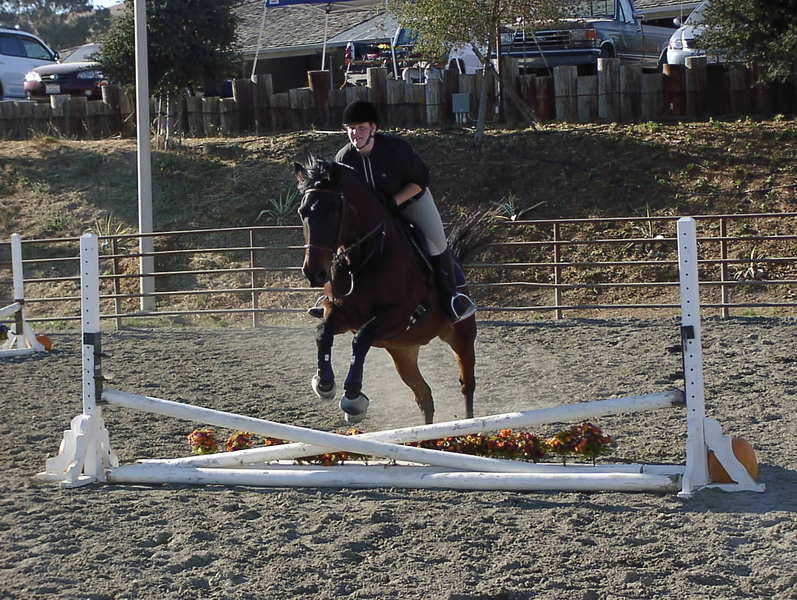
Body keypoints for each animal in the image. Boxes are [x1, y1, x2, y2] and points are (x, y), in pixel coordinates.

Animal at [294, 156, 477, 425]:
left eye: (333, 211)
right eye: (303, 212)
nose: (313, 273)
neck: (361, 259)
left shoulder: (397, 315)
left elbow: (360, 341)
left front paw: (353, 399)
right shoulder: (341, 312)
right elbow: (323, 333)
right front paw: (324, 383)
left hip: (461, 335)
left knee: (467, 384)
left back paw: (468, 423)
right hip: (403, 350)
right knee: (424, 395)